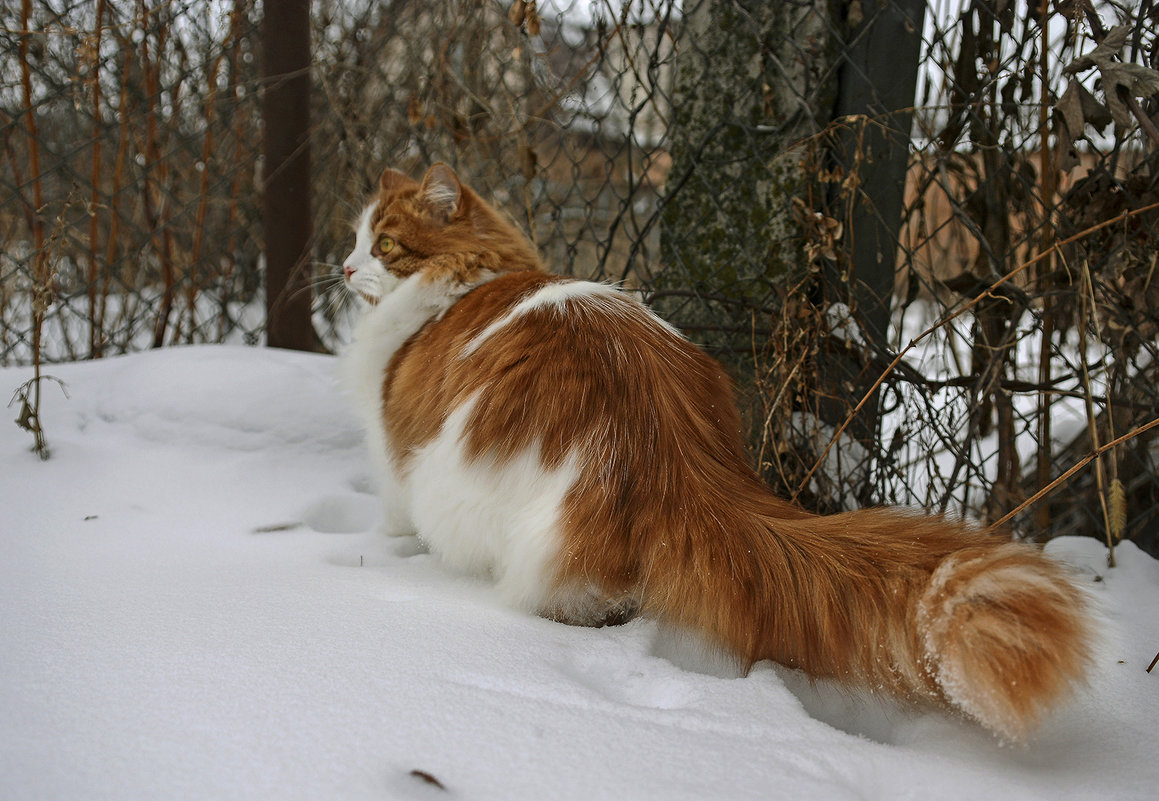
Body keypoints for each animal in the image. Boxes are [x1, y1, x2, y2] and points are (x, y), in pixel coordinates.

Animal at [338, 164, 1094, 746]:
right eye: (357, 240)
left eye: (383, 243)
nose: (343, 266)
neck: (465, 280)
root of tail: (669, 451)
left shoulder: (396, 452)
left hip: (460, 486)